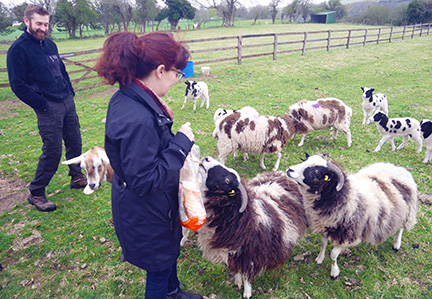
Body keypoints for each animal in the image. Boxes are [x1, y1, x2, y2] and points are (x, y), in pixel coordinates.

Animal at [198, 158, 308, 298]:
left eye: (227, 180)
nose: (206, 158)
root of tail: (280, 173)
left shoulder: (251, 253)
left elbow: (247, 276)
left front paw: (247, 292)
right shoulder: (232, 251)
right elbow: (236, 268)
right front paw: (237, 281)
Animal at [286, 155, 418, 282]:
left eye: (317, 171)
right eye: (305, 160)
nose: (289, 170)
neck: (344, 195)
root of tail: (397, 168)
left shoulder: (347, 235)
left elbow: (333, 255)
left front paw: (334, 272)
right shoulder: (325, 226)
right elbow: (323, 244)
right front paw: (319, 258)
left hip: (407, 211)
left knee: (401, 228)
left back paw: (396, 244)